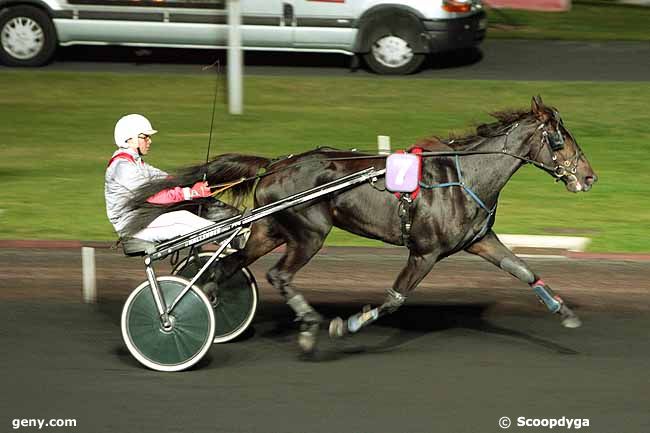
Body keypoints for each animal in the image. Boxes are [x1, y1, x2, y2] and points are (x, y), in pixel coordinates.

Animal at [128, 96, 596, 352]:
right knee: (279, 275)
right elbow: (393, 299)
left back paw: (204, 303)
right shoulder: (424, 252)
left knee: (227, 266)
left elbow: (523, 270)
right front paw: (347, 324)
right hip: (309, 232)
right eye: (560, 140)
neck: (463, 176)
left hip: (269, 228)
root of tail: (277, 163)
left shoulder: (479, 241)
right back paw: (305, 323)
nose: (589, 177)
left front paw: (565, 312)